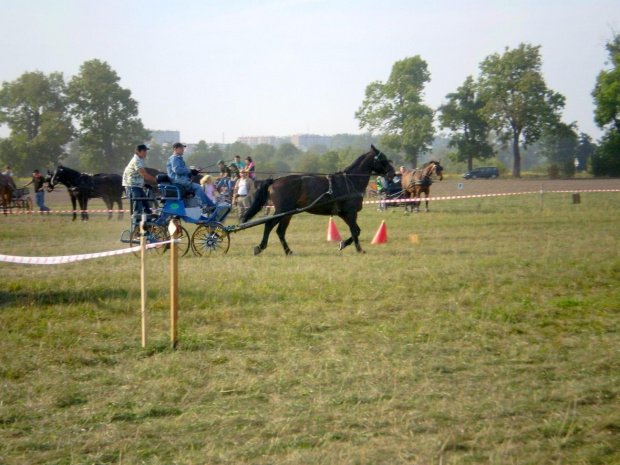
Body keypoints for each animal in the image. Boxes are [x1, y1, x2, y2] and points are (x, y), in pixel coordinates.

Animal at [241, 144, 392, 256]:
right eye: (383, 159)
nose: (392, 173)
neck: (350, 181)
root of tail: (275, 181)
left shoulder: (345, 214)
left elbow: (356, 230)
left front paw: (344, 244)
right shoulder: (350, 212)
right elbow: (355, 231)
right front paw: (358, 249)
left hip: (287, 213)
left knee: (280, 231)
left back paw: (289, 251)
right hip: (282, 210)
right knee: (269, 225)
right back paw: (260, 247)